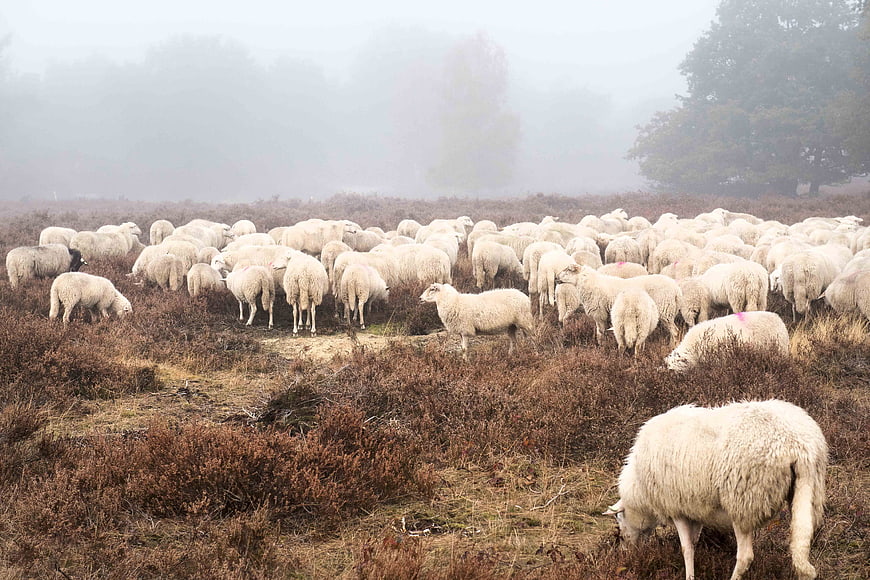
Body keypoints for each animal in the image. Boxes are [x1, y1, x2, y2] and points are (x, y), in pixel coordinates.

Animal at [607, 399, 826, 580]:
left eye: (619, 519)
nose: (625, 552)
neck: (640, 488)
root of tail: (798, 444)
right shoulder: (694, 508)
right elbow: (694, 543)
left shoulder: (676, 507)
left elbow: (686, 548)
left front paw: (689, 576)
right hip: (809, 490)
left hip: (742, 501)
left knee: (745, 556)